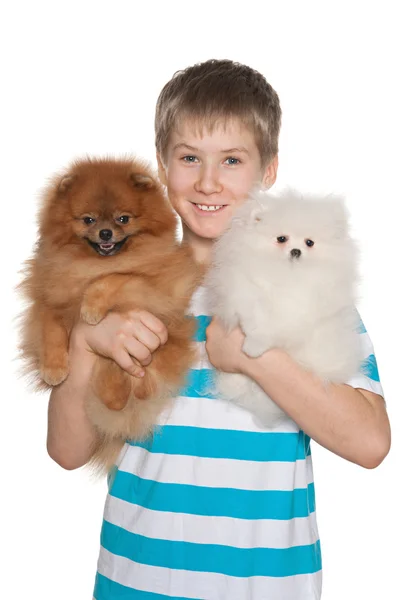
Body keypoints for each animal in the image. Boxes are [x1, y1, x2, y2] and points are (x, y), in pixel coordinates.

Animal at [17, 157, 202, 476]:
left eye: (123, 219)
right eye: (88, 220)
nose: (105, 233)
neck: (91, 265)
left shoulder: (158, 285)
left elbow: (115, 278)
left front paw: (91, 307)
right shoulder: (49, 297)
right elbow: (50, 328)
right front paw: (53, 368)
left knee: (127, 386)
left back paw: (115, 392)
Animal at [206, 188, 362, 426]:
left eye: (309, 243)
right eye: (281, 239)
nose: (296, 251)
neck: (285, 274)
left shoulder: (299, 309)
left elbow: (275, 328)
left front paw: (253, 347)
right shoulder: (244, 287)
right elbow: (252, 313)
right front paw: (251, 340)